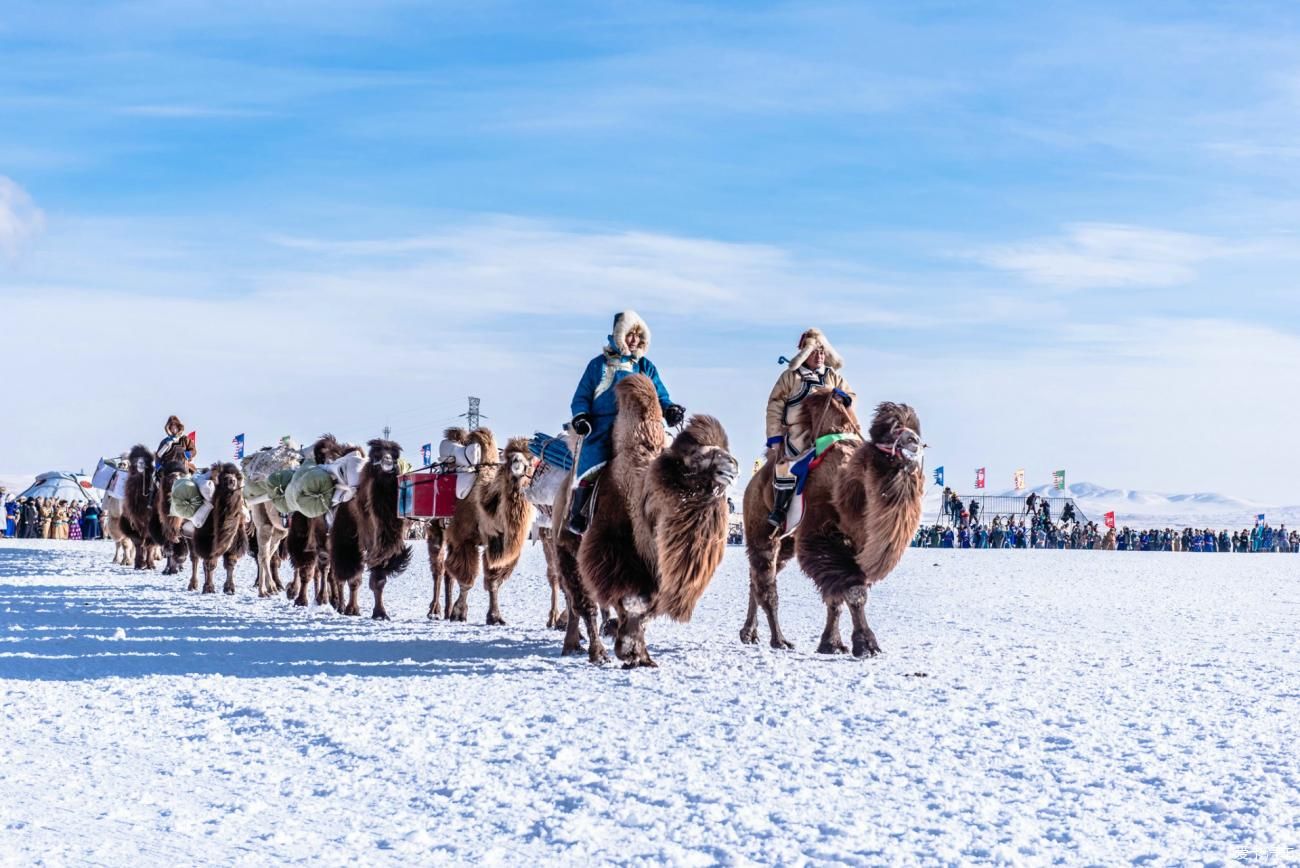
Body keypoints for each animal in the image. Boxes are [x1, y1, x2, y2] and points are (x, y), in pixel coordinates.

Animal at [569, 376, 743, 670]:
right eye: (697, 456)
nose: (732, 466)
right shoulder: (610, 548)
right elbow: (633, 600)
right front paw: (628, 650)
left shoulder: (657, 570)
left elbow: (649, 607)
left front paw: (638, 653)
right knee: (581, 600)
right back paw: (593, 649)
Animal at [743, 392, 925, 657]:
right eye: (892, 430)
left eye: (913, 430)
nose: (914, 441)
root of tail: (753, 481)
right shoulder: (822, 535)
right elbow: (854, 592)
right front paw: (866, 645)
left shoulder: (854, 543)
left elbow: (835, 599)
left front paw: (832, 644)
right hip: (761, 528)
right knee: (766, 581)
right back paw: (779, 640)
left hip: (787, 541)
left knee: (757, 579)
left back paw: (749, 634)